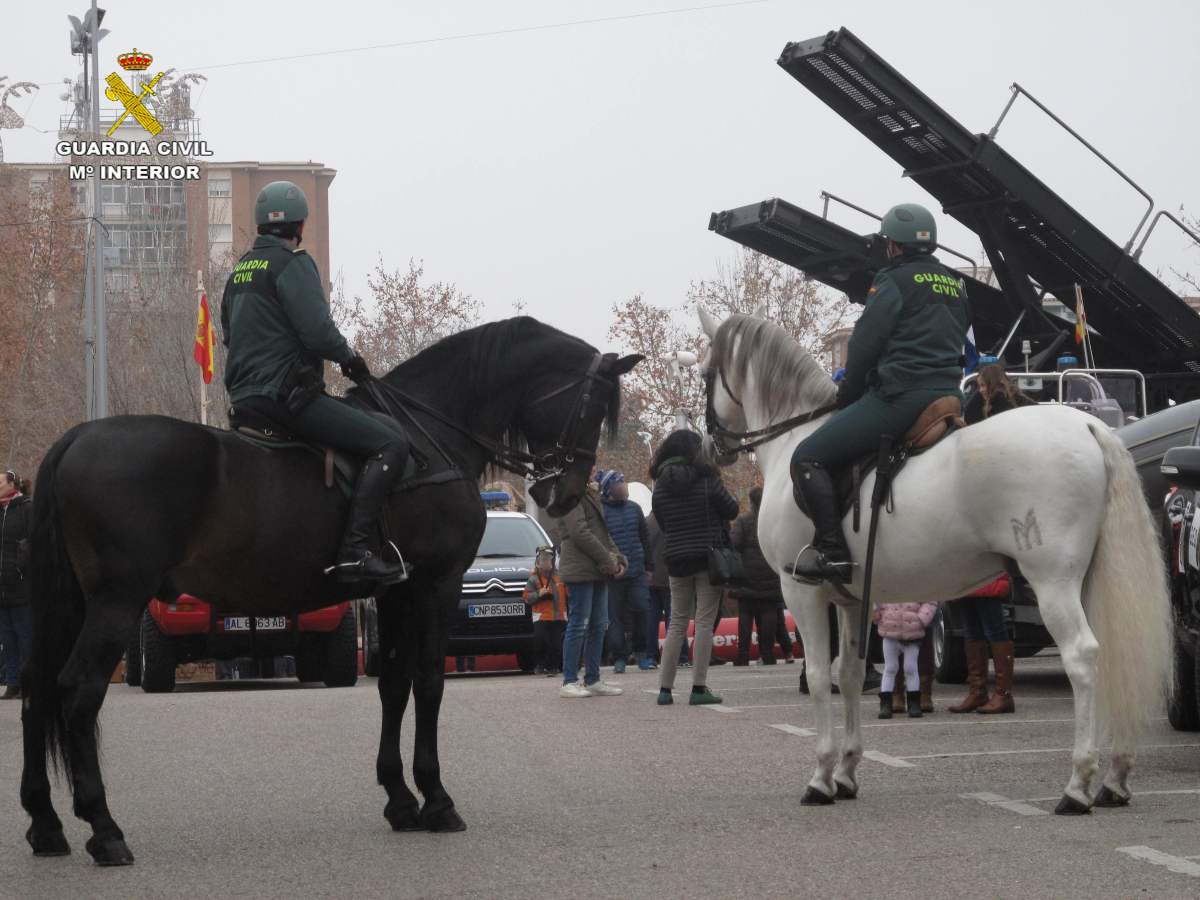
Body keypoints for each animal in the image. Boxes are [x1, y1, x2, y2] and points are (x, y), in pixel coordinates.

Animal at [21, 316, 638, 868]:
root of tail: (77, 437)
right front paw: (437, 800)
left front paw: (400, 799)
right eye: (591, 408)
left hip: (76, 606)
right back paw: (104, 829)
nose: (565, 494)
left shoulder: (394, 594)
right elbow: (429, 683)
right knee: (77, 691)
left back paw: (45, 824)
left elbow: (393, 685)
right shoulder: (434, 586)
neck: (427, 435)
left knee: (37, 692)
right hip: (117, 602)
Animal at [700, 309, 1166, 816]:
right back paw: (1115, 777)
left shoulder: (801, 591)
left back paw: (1078, 784)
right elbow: (849, 674)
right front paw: (846, 772)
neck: (794, 438)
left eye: (704, 374)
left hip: (1052, 582)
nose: (712, 447)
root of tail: (1087, 427)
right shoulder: (850, 600)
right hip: (1087, 580)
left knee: (1081, 657)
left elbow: (822, 676)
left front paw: (821, 778)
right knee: (1113, 656)